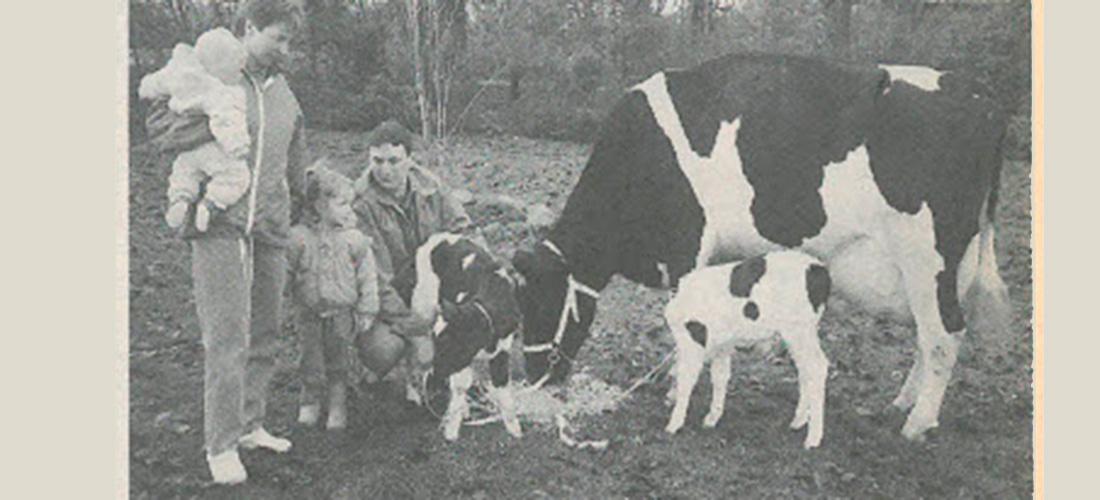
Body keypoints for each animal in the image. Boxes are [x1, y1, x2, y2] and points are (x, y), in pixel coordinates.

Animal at [392, 232, 524, 441]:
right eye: (438, 342)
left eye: (449, 342)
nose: (433, 380)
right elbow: (461, 385)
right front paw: (451, 431)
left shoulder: (502, 349)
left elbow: (502, 385)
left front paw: (514, 430)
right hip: (420, 312)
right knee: (411, 354)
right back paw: (413, 396)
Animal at [663, 250, 832, 449]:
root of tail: (818, 267)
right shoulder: (722, 344)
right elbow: (719, 377)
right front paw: (712, 418)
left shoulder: (693, 340)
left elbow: (685, 380)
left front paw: (673, 424)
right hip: (801, 334)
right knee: (805, 370)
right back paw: (799, 421)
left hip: (799, 331)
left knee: (817, 367)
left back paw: (813, 438)